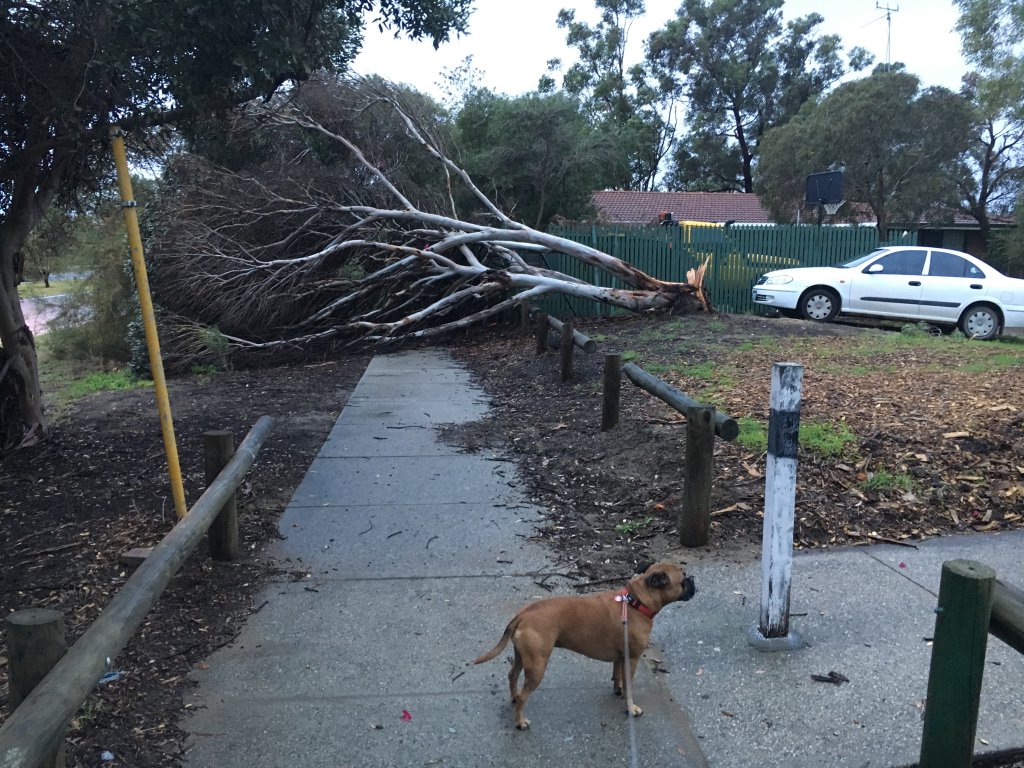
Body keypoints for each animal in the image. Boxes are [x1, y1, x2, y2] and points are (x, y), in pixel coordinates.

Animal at [473, 561, 696, 729]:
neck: (635, 602)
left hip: (522, 656)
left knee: (512, 675)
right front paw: (630, 707)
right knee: (523, 696)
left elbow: (617, 675)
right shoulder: (631, 659)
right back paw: (520, 721)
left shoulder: (620, 657)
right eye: (683, 579)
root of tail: (523, 614)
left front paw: (618, 689)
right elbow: (629, 685)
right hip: (537, 666)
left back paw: (514, 697)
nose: (693, 579)